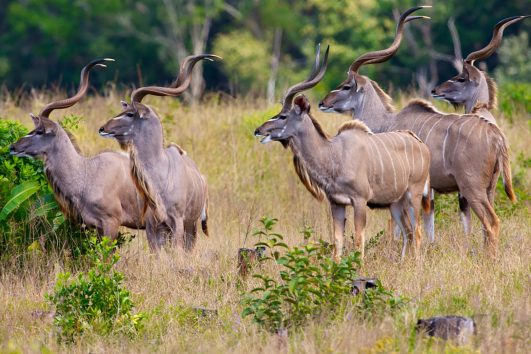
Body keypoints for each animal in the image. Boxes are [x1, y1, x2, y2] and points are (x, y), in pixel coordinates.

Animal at [98, 54, 217, 250]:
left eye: (130, 114)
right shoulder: (153, 226)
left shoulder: (177, 222)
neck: (160, 178)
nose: (102, 128)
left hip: (191, 226)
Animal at [255, 45, 432, 260]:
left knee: (417, 231)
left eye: (283, 116)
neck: (334, 154)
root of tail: (421, 144)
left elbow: (358, 240)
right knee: (407, 232)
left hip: (414, 195)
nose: (258, 130)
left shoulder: (360, 200)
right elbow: (338, 242)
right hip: (396, 203)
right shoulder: (336, 203)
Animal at [320, 8, 516, 254]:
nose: (322, 102)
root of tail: (495, 135)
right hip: (489, 187)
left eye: (346, 86)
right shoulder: (427, 189)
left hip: (472, 187)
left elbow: (399, 224)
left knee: (492, 222)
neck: (386, 122)